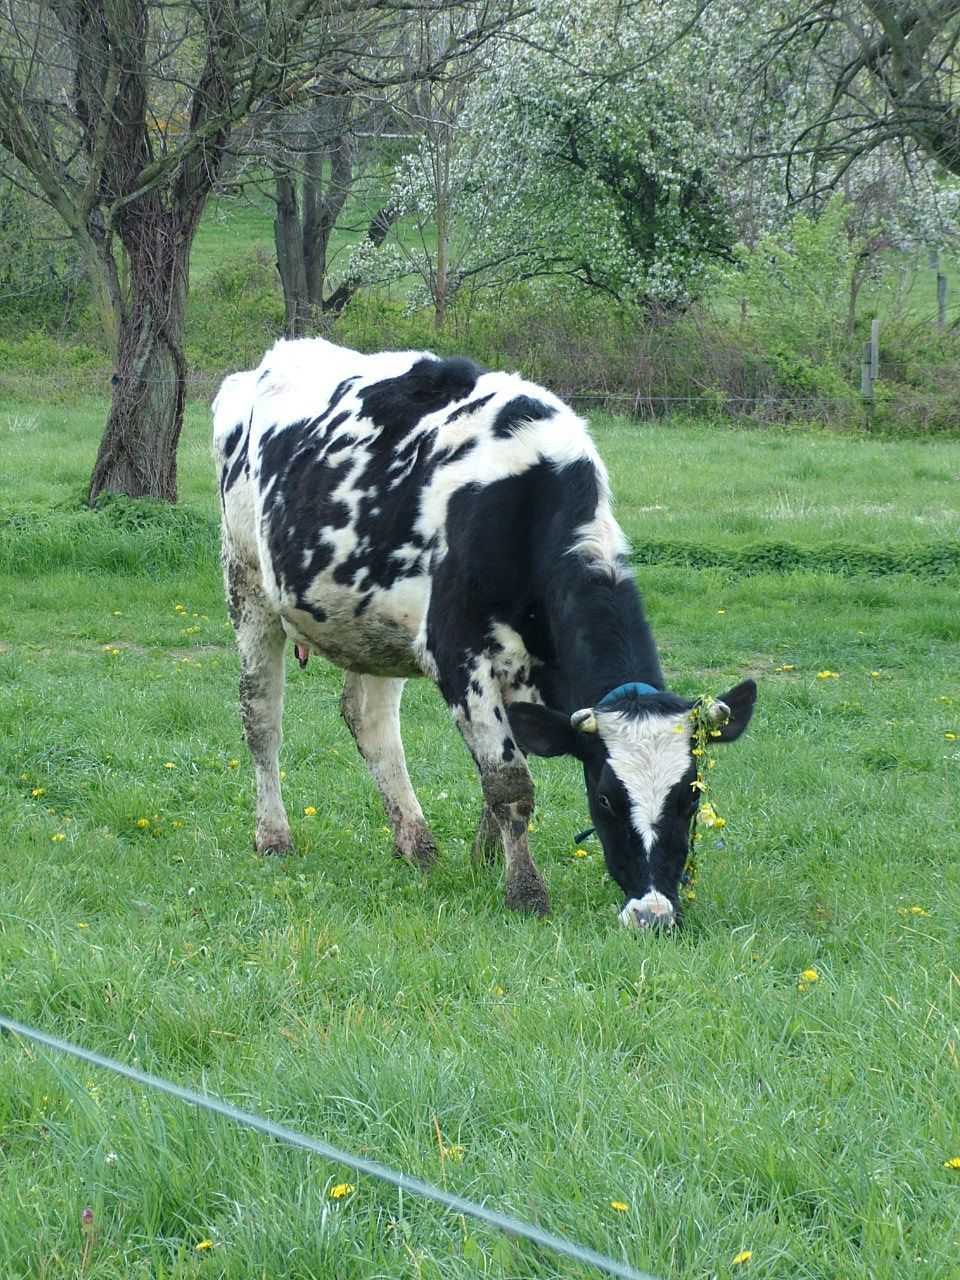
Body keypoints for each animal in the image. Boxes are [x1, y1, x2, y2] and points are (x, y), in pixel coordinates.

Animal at [212, 340, 757, 931]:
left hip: (375, 627)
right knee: (260, 717)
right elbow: (509, 782)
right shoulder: (458, 654)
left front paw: (484, 858)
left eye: (690, 799)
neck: (523, 500)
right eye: (608, 798)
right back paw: (274, 835)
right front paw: (524, 890)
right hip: (247, 583)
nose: (654, 914)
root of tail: (272, 357)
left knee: (371, 721)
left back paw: (416, 842)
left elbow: (502, 770)